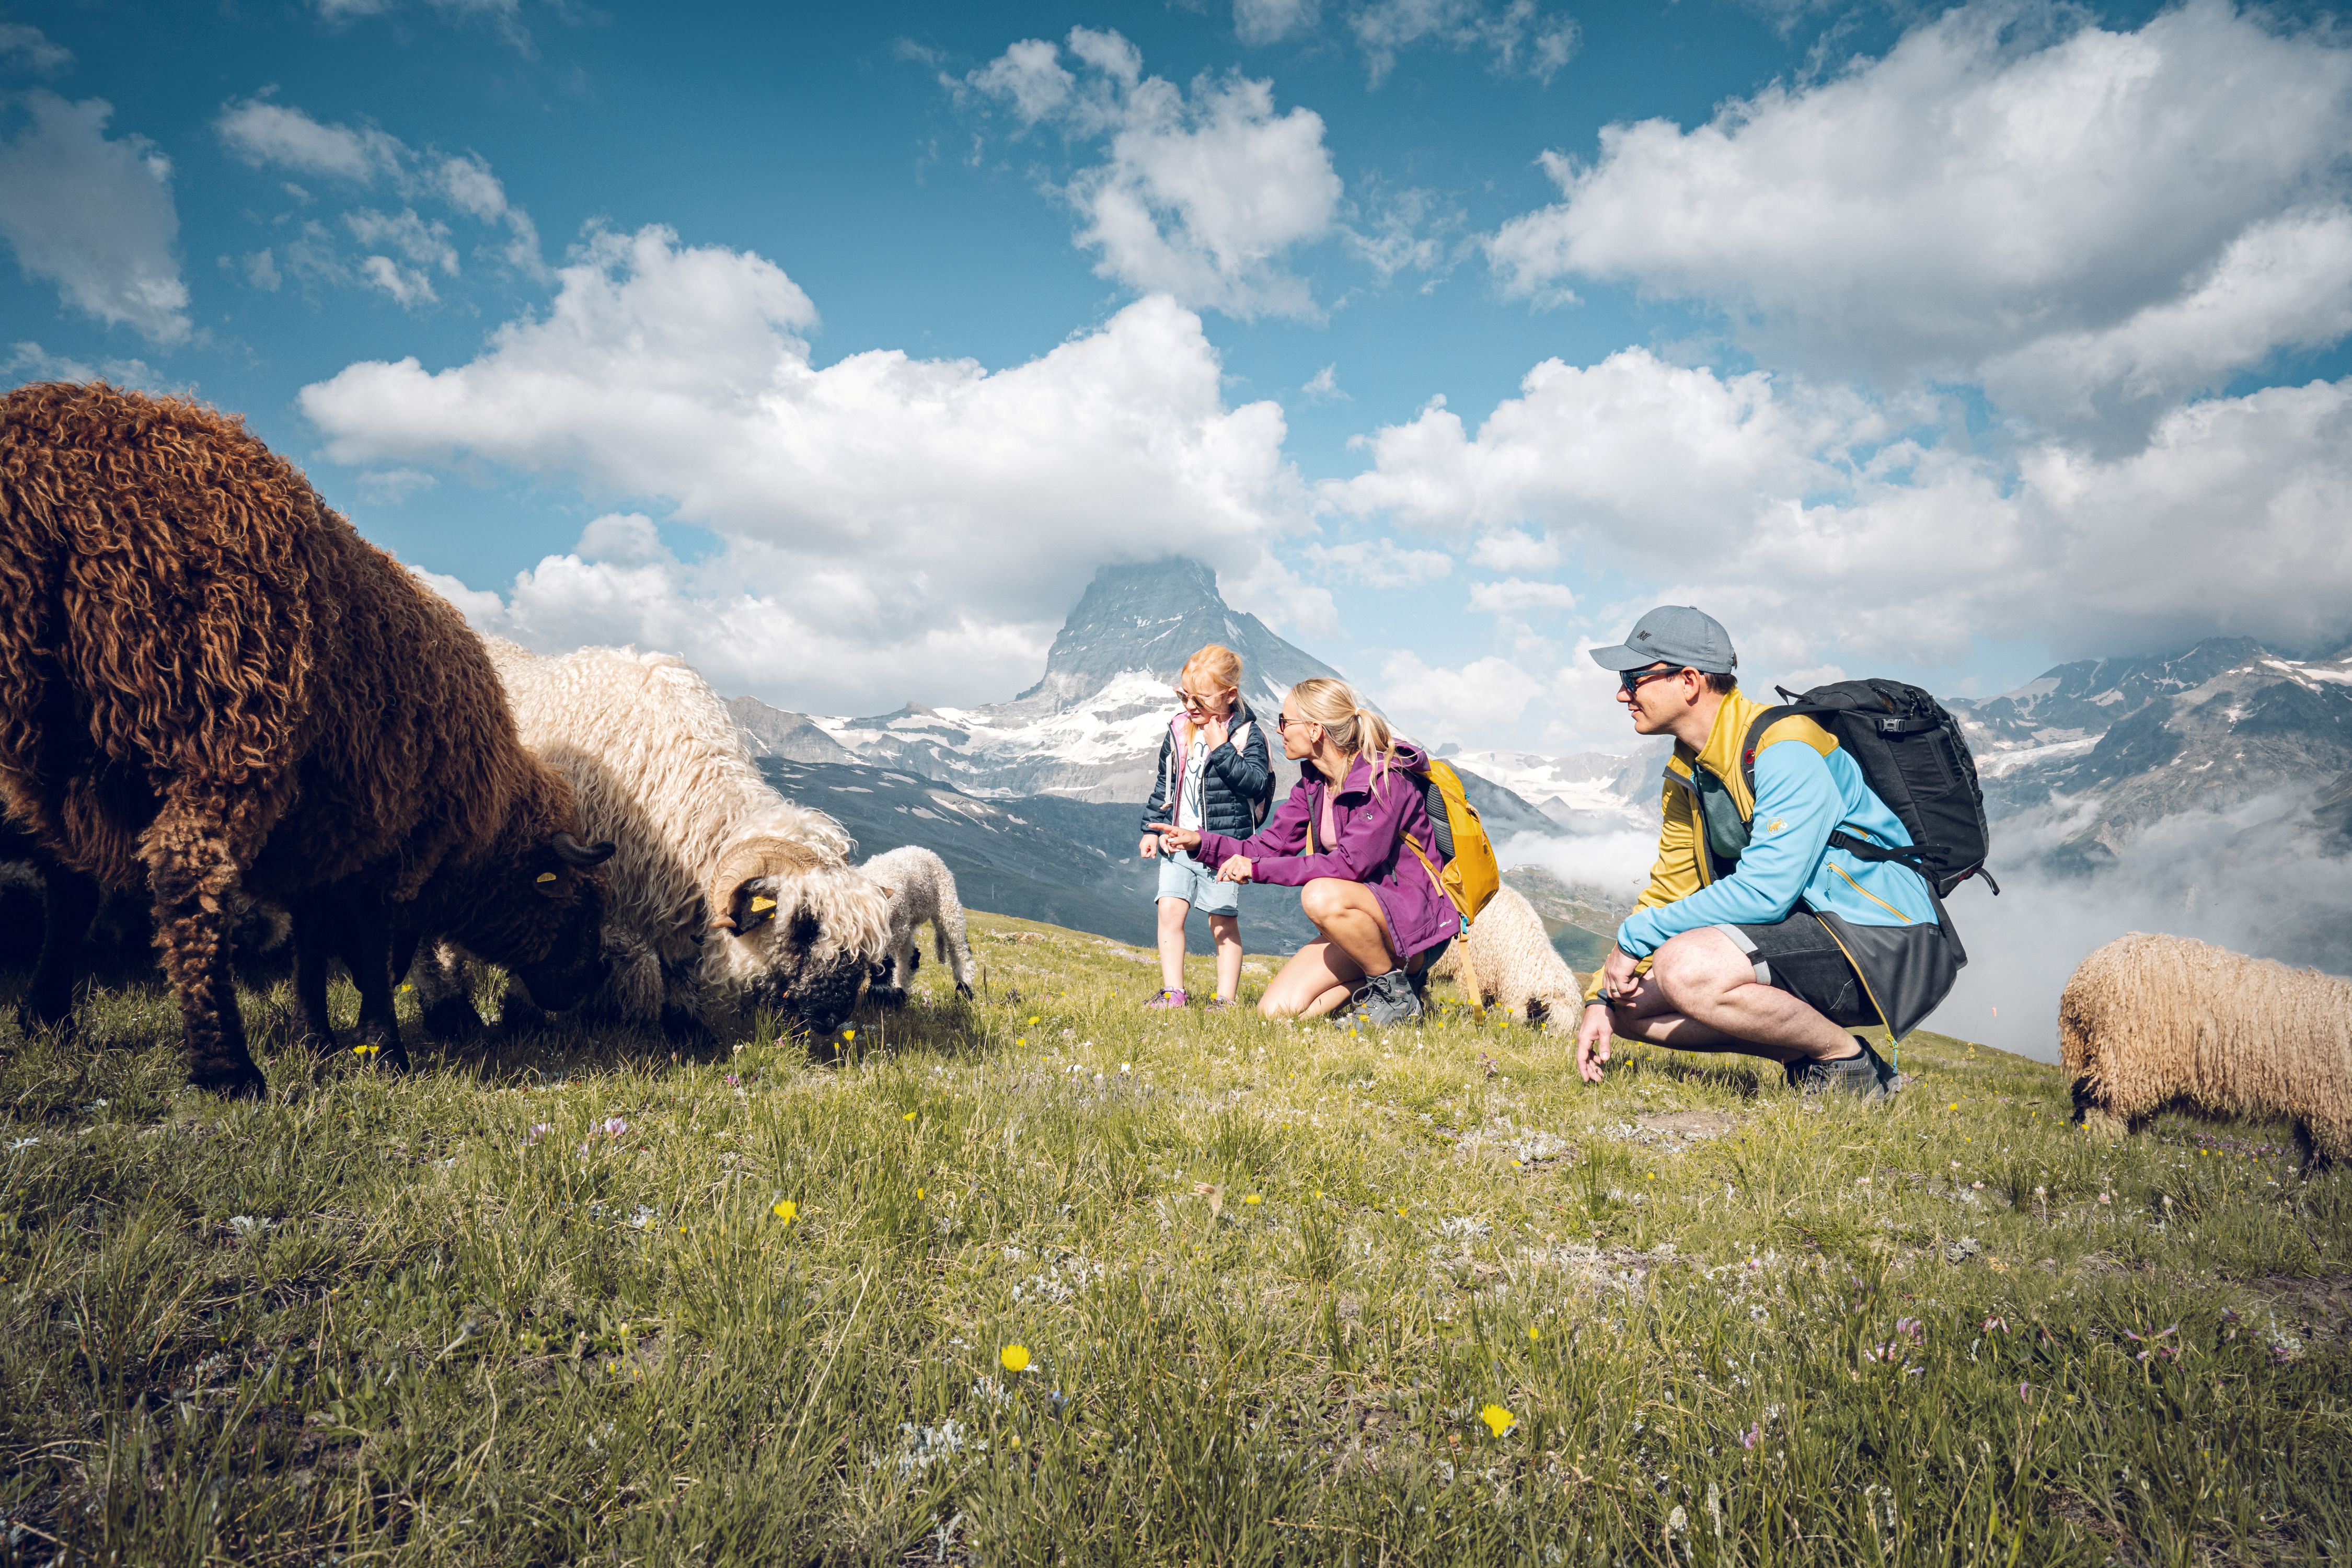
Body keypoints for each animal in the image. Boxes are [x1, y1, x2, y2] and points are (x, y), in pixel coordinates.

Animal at [0, 383, 615, 1095]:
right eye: (577, 902)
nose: (589, 986)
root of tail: (57, 476)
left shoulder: (321, 839)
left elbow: (312, 945)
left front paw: (313, 1036)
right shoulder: (387, 837)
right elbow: (368, 945)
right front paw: (382, 1049)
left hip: (55, 749)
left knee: (71, 884)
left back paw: (49, 1018)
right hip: (226, 721)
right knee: (187, 876)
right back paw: (227, 1067)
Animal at [412, 641, 890, 1039]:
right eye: (804, 926)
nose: (832, 1018)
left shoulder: (680, 886)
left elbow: (679, 963)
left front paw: (684, 1027)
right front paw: (527, 1018)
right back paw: (451, 1016)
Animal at [860, 845, 977, 1006]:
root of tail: (926, 851)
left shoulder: (891, 933)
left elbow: (883, 966)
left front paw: (876, 1000)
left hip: (947, 907)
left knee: (960, 952)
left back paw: (965, 991)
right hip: (908, 922)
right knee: (910, 957)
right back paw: (900, 993)